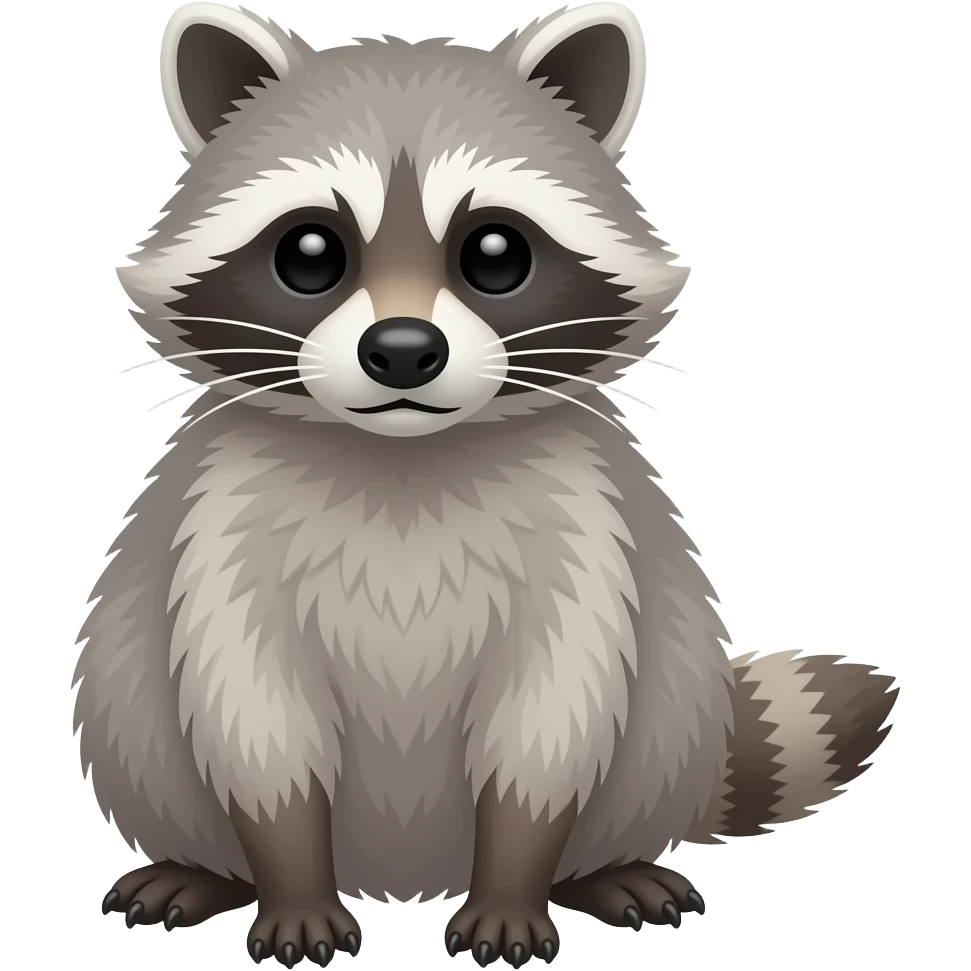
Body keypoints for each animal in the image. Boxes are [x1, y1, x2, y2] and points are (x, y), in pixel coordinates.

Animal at [73, 3, 899, 968]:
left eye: (495, 253)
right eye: (308, 253)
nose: (400, 351)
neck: (403, 455)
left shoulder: (583, 530)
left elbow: (547, 727)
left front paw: (513, 883)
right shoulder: (221, 529)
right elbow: (257, 727)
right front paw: (291, 883)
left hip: (676, 725)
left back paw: (603, 869)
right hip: (131, 729)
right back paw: (202, 869)